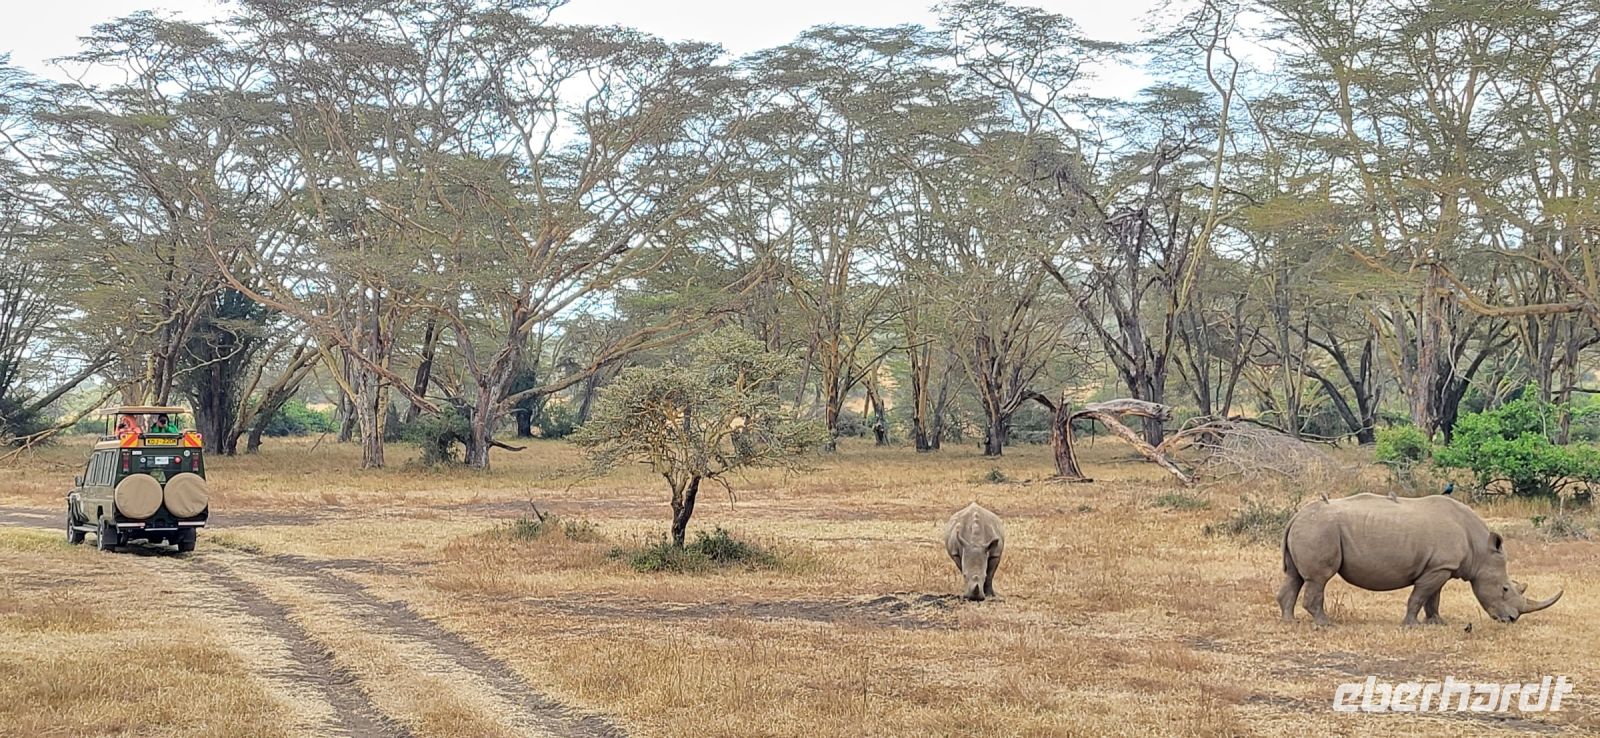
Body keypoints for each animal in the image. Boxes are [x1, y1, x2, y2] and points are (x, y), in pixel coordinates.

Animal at [1278, 493, 1562, 625]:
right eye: (1504, 589)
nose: (1511, 620)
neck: (1480, 550)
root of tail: (1296, 516)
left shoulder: (1440, 567)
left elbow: (1433, 598)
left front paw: (1437, 623)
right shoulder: (1439, 568)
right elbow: (1420, 596)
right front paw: (1411, 625)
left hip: (1310, 527)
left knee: (1294, 576)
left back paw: (1290, 620)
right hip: (1320, 529)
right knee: (1318, 579)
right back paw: (1326, 624)